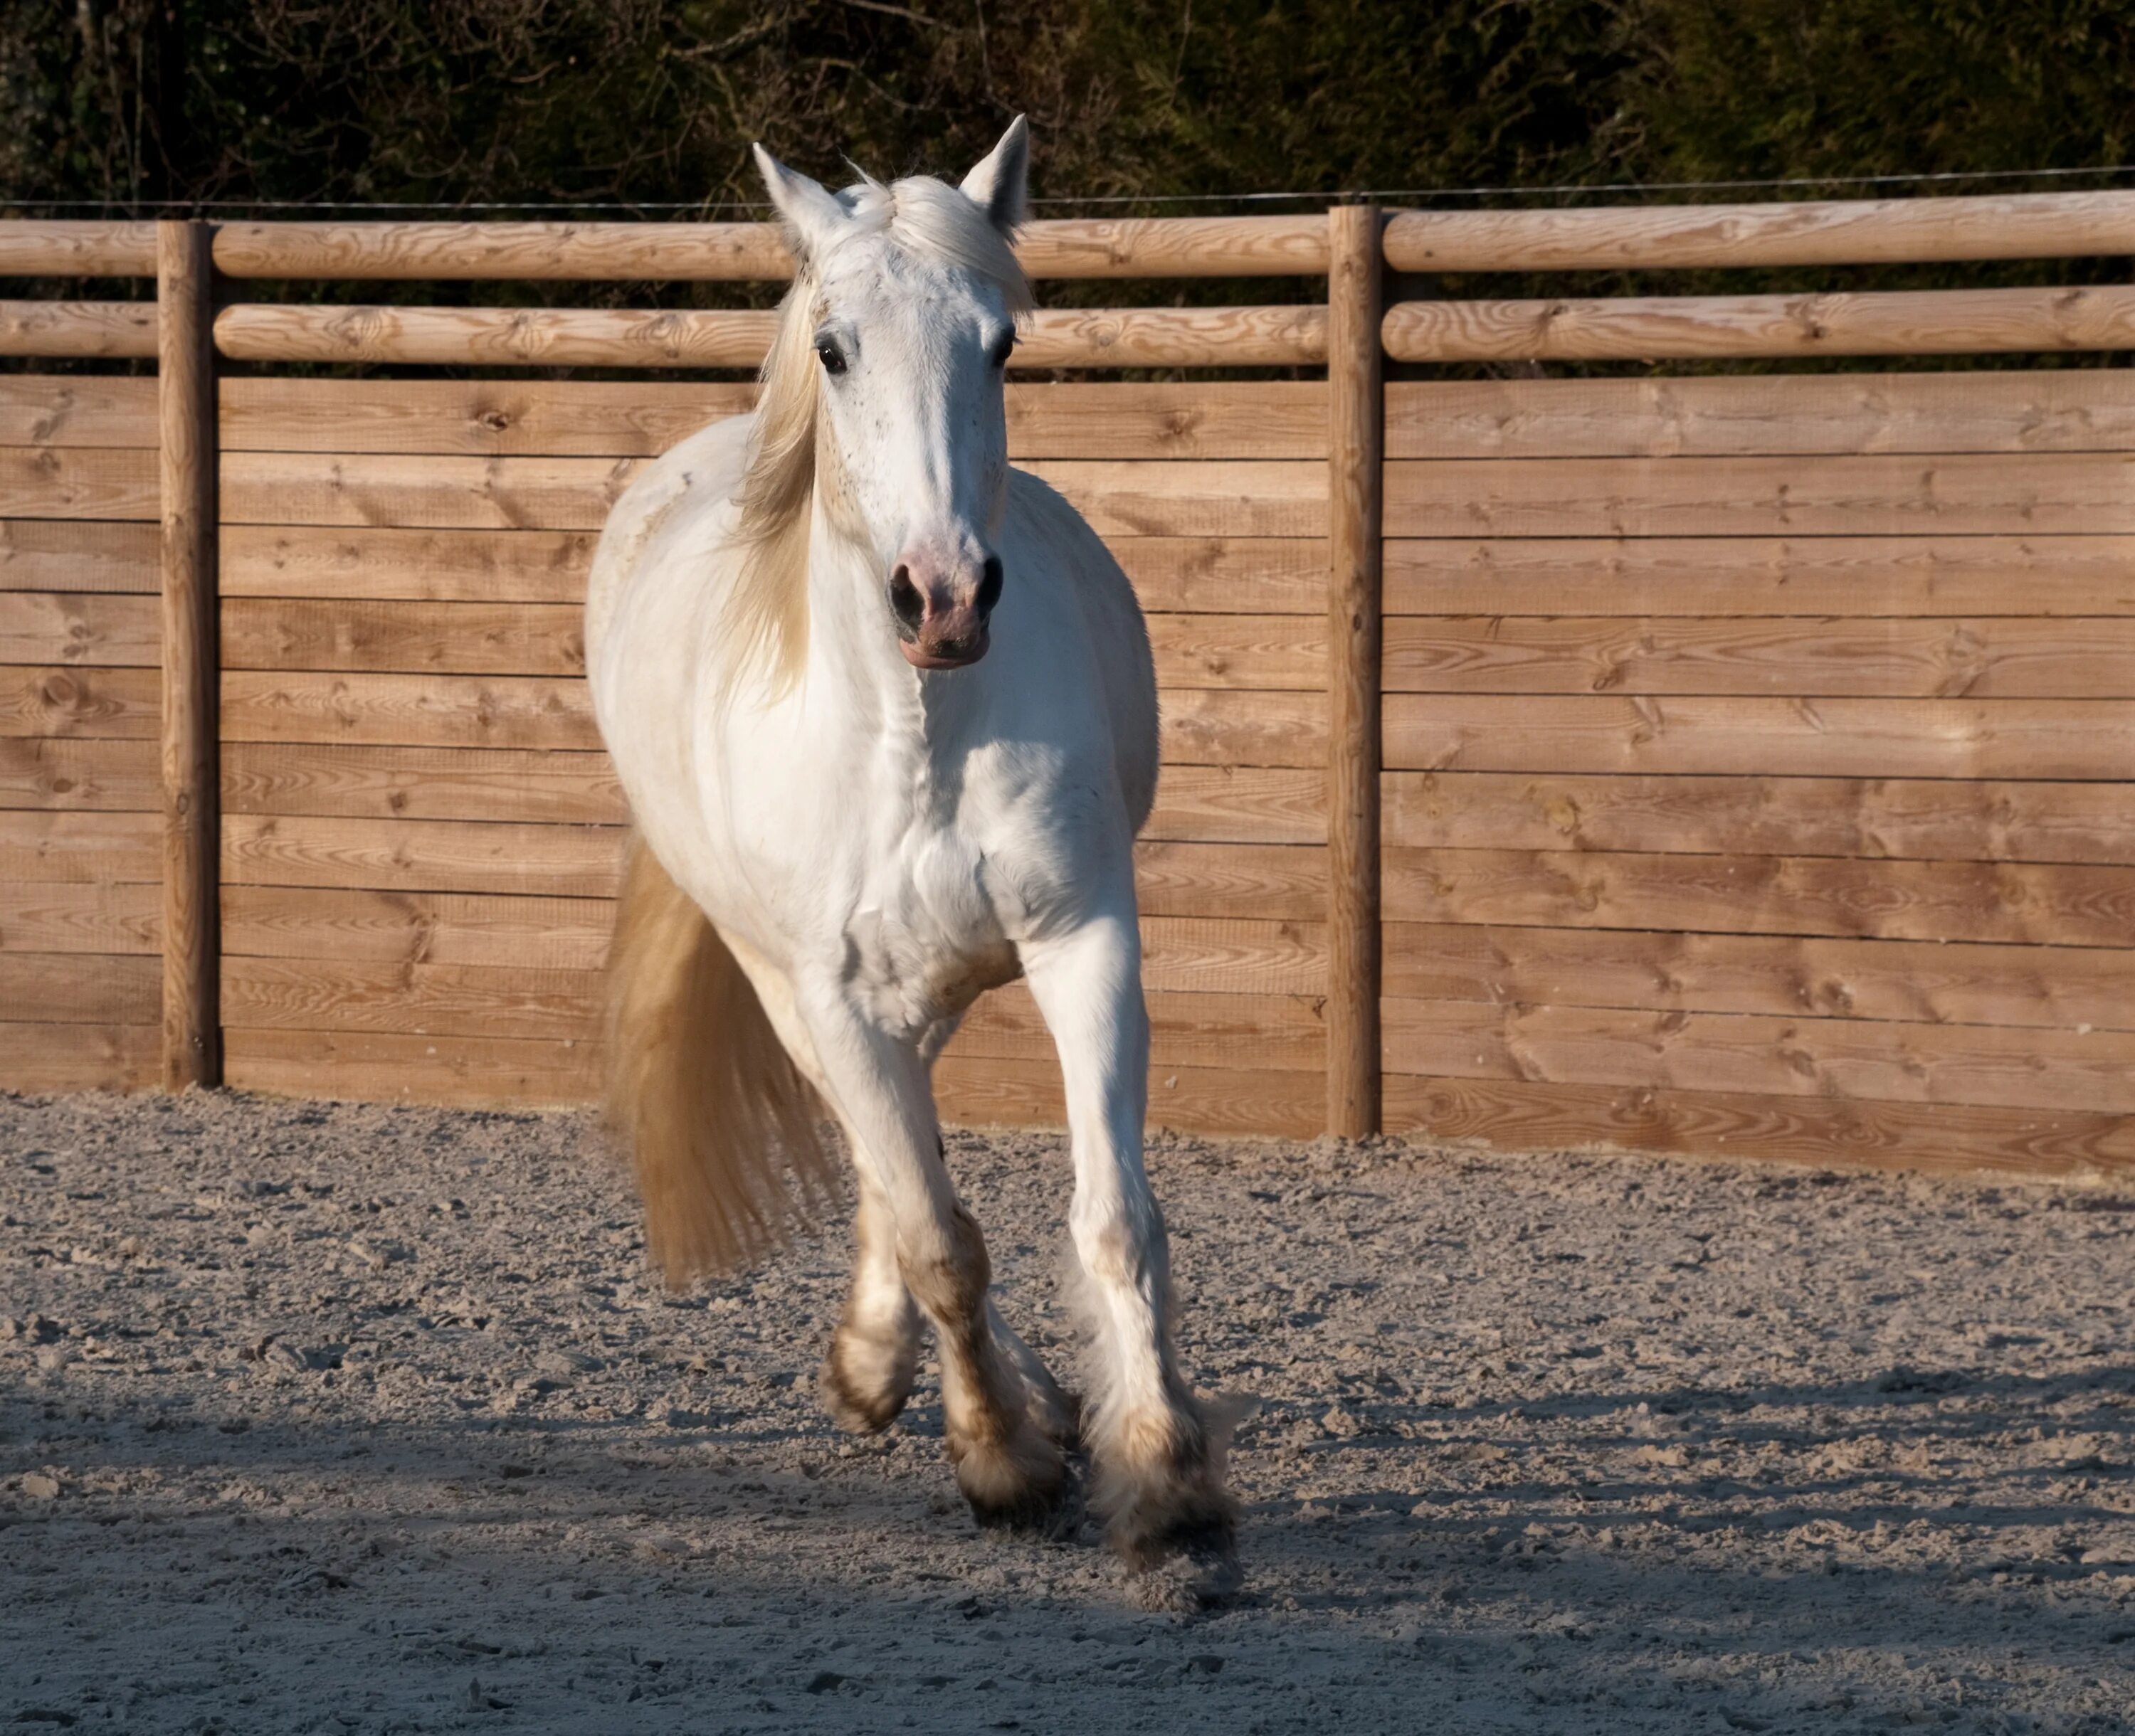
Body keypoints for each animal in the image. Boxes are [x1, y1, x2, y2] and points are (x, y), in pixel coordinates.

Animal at [585, 125, 1238, 1588]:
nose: (943, 597)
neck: (919, 733)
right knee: (888, 1163)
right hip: (789, 986)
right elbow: (943, 1239)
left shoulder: (1084, 943)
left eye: (1001, 344)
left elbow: (1115, 1219)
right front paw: (1001, 1461)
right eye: (833, 349)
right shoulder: (830, 995)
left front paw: (1163, 1474)